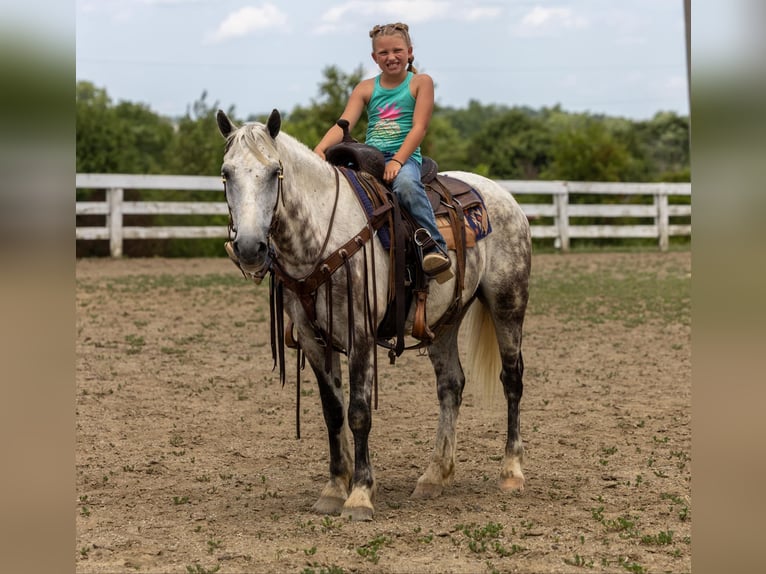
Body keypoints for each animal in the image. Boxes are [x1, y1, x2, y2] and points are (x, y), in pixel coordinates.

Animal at [216, 109, 531, 522]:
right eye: (226, 173)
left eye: (274, 172)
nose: (250, 248)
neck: (321, 237)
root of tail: (504, 196)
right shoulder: (312, 339)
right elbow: (333, 412)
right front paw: (335, 488)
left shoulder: (360, 333)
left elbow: (359, 412)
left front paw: (360, 495)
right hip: (446, 318)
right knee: (451, 385)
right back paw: (434, 475)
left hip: (508, 302)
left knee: (511, 379)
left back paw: (511, 471)